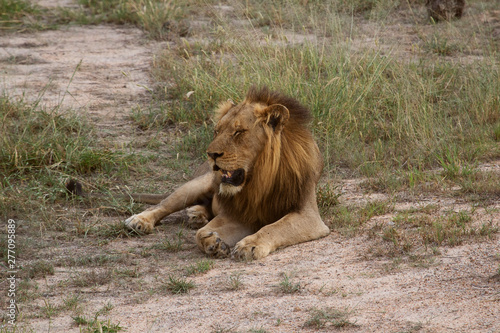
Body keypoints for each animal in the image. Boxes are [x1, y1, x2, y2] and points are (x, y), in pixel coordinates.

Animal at [110, 86, 330, 260]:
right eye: (217, 131)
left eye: (238, 132)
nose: (211, 154)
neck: (260, 180)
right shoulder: (241, 214)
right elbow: (200, 234)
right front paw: (213, 243)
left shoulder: (308, 215)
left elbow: (274, 227)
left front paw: (249, 245)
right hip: (196, 185)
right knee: (164, 204)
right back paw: (141, 220)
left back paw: (197, 215)